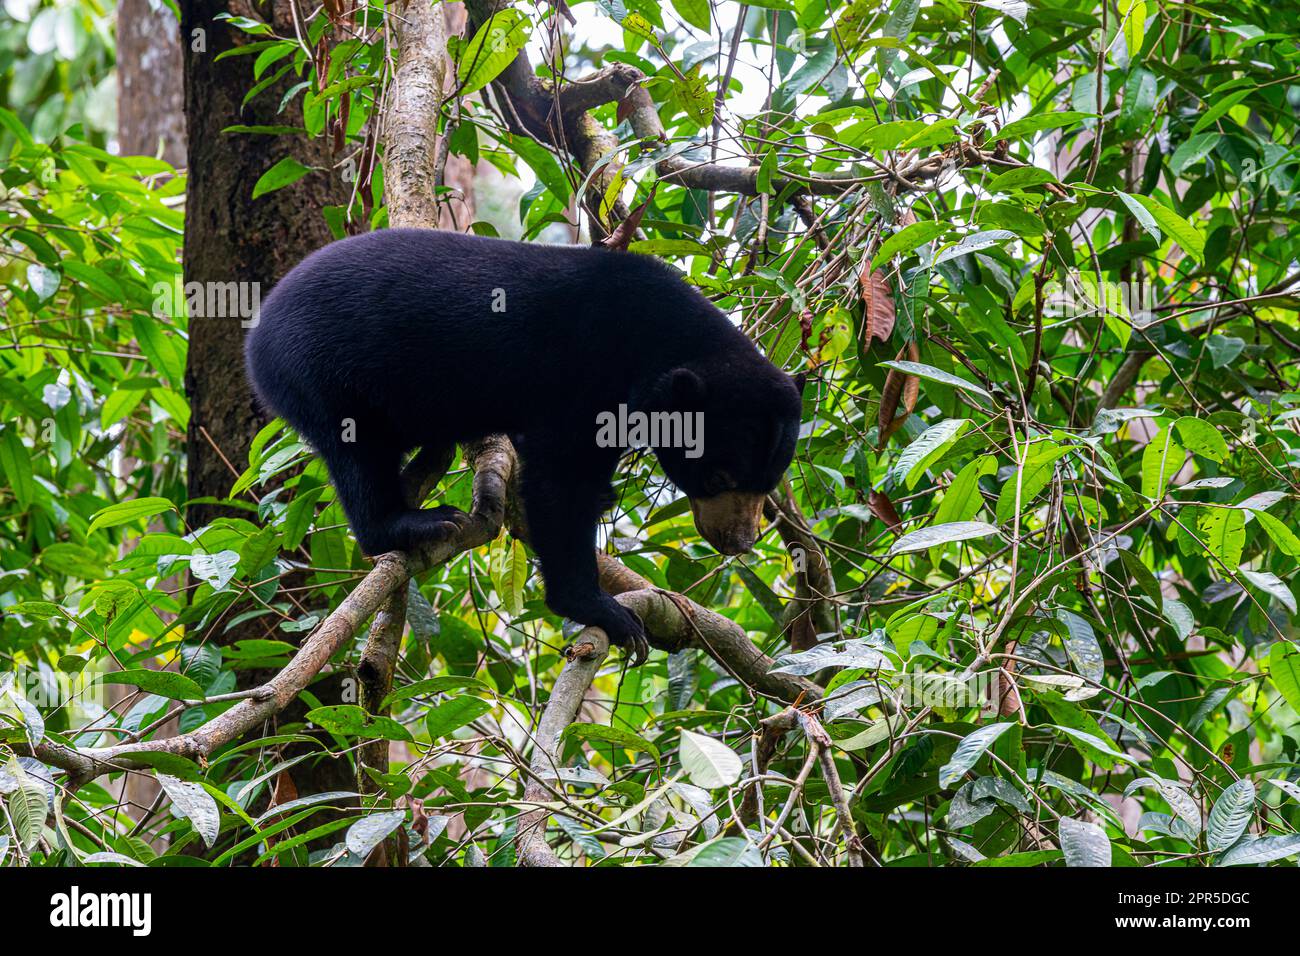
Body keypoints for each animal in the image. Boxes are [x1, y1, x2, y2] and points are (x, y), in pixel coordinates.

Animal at [244, 232, 800, 665]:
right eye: (721, 478)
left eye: (768, 484)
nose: (739, 541)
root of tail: (258, 330)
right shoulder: (584, 380)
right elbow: (559, 484)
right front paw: (606, 611)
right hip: (323, 373)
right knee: (357, 453)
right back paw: (414, 520)